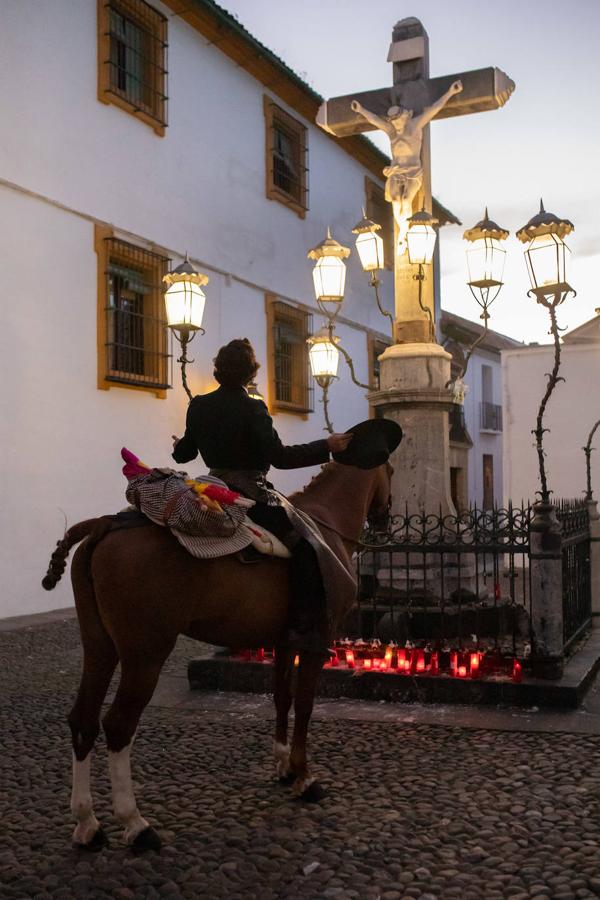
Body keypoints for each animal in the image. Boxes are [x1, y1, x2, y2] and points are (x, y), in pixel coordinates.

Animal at [41, 460, 390, 856]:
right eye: (392, 473)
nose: (384, 521)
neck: (324, 523)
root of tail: (105, 524)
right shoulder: (316, 642)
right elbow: (304, 706)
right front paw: (304, 777)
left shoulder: (285, 642)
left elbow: (282, 699)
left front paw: (284, 766)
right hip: (145, 655)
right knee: (118, 726)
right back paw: (136, 825)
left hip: (99, 648)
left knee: (82, 720)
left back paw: (88, 824)